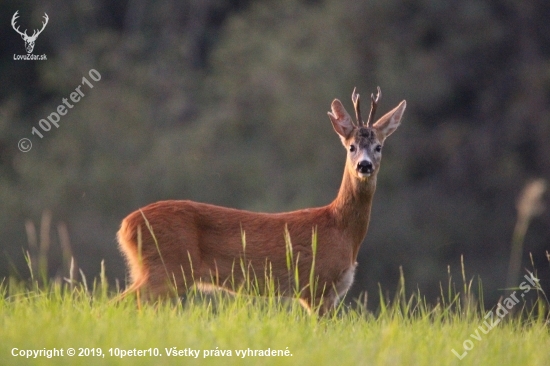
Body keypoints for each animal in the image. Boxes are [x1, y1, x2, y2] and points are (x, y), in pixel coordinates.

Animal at [118, 88, 408, 314]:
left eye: (379, 146)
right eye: (351, 147)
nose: (364, 165)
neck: (341, 229)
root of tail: (125, 227)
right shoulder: (316, 285)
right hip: (166, 267)